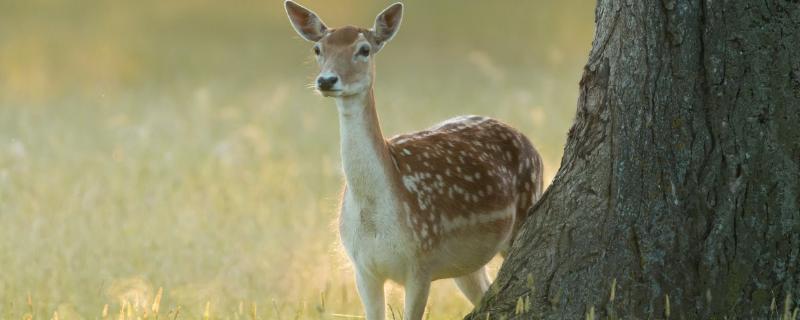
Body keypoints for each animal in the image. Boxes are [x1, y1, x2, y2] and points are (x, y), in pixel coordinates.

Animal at [284, 1, 548, 318]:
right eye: (318, 49)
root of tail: (528, 141)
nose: (326, 80)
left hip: (525, 209)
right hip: (466, 265)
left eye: (364, 49)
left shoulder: (421, 261)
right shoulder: (363, 269)